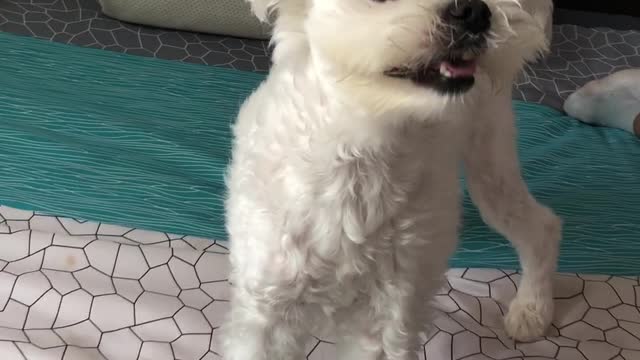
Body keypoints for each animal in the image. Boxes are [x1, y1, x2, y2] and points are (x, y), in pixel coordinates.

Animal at [224, 1, 560, 358]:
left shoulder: (388, 314)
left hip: (491, 158)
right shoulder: (268, 308)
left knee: (542, 227)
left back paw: (533, 308)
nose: (474, 12)